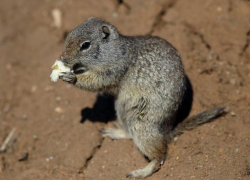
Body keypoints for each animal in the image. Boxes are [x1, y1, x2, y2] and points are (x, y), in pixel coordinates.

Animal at [58, 17, 225, 178]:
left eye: (85, 45)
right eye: (69, 35)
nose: (64, 58)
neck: (114, 49)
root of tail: (167, 130)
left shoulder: (114, 69)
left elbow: (97, 82)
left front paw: (72, 77)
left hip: (141, 123)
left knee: (160, 154)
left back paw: (142, 171)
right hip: (123, 109)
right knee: (130, 133)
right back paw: (116, 132)